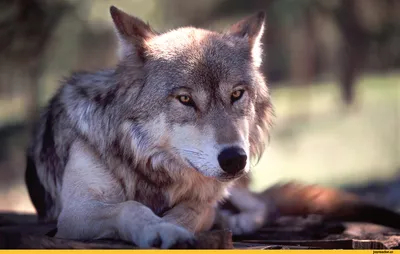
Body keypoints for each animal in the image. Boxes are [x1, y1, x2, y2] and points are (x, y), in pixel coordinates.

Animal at [25, 5, 276, 248]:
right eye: (185, 99)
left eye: (236, 94)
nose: (234, 159)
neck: (147, 164)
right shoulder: (75, 213)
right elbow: (129, 207)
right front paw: (161, 229)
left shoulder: (204, 202)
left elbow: (192, 210)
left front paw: (173, 225)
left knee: (262, 203)